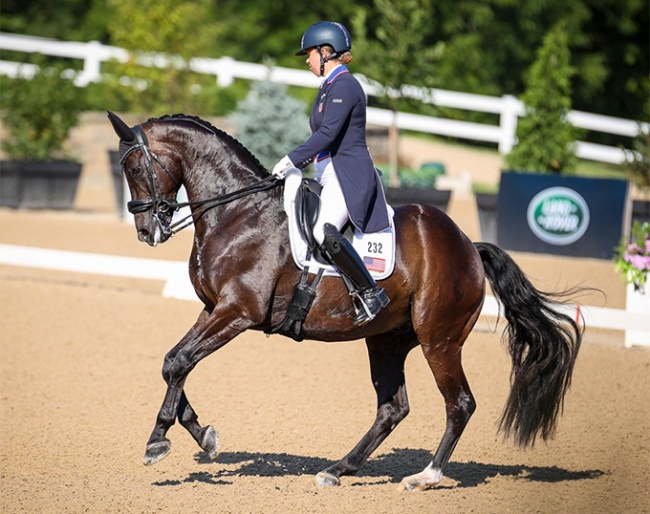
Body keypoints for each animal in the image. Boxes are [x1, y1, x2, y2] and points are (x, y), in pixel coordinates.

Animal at [107, 111, 584, 488]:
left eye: (135, 166)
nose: (146, 231)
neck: (237, 212)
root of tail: (468, 245)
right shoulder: (214, 309)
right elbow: (174, 362)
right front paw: (202, 436)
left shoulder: (238, 312)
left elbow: (178, 362)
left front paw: (157, 440)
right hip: (387, 340)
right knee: (393, 408)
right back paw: (338, 469)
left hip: (439, 340)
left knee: (459, 403)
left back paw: (425, 477)